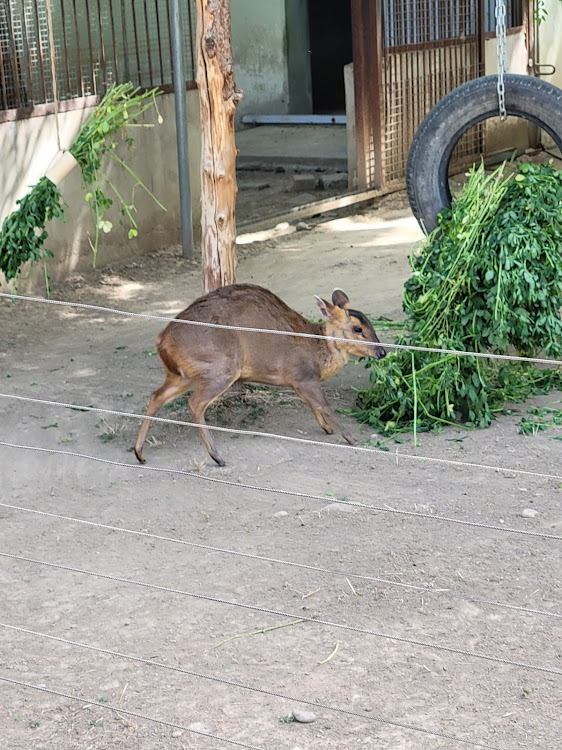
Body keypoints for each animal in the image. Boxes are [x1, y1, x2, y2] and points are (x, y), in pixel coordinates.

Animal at [133, 284, 384, 468]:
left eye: (370, 324)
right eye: (358, 329)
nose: (382, 352)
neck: (317, 352)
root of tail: (162, 340)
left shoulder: (297, 382)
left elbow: (313, 405)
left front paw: (326, 428)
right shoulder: (303, 375)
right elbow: (324, 406)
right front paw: (349, 437)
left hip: (183, 375)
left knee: (156, 396)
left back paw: (139, 453)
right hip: (220, 367)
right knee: (195, 403)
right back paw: (217, 456)